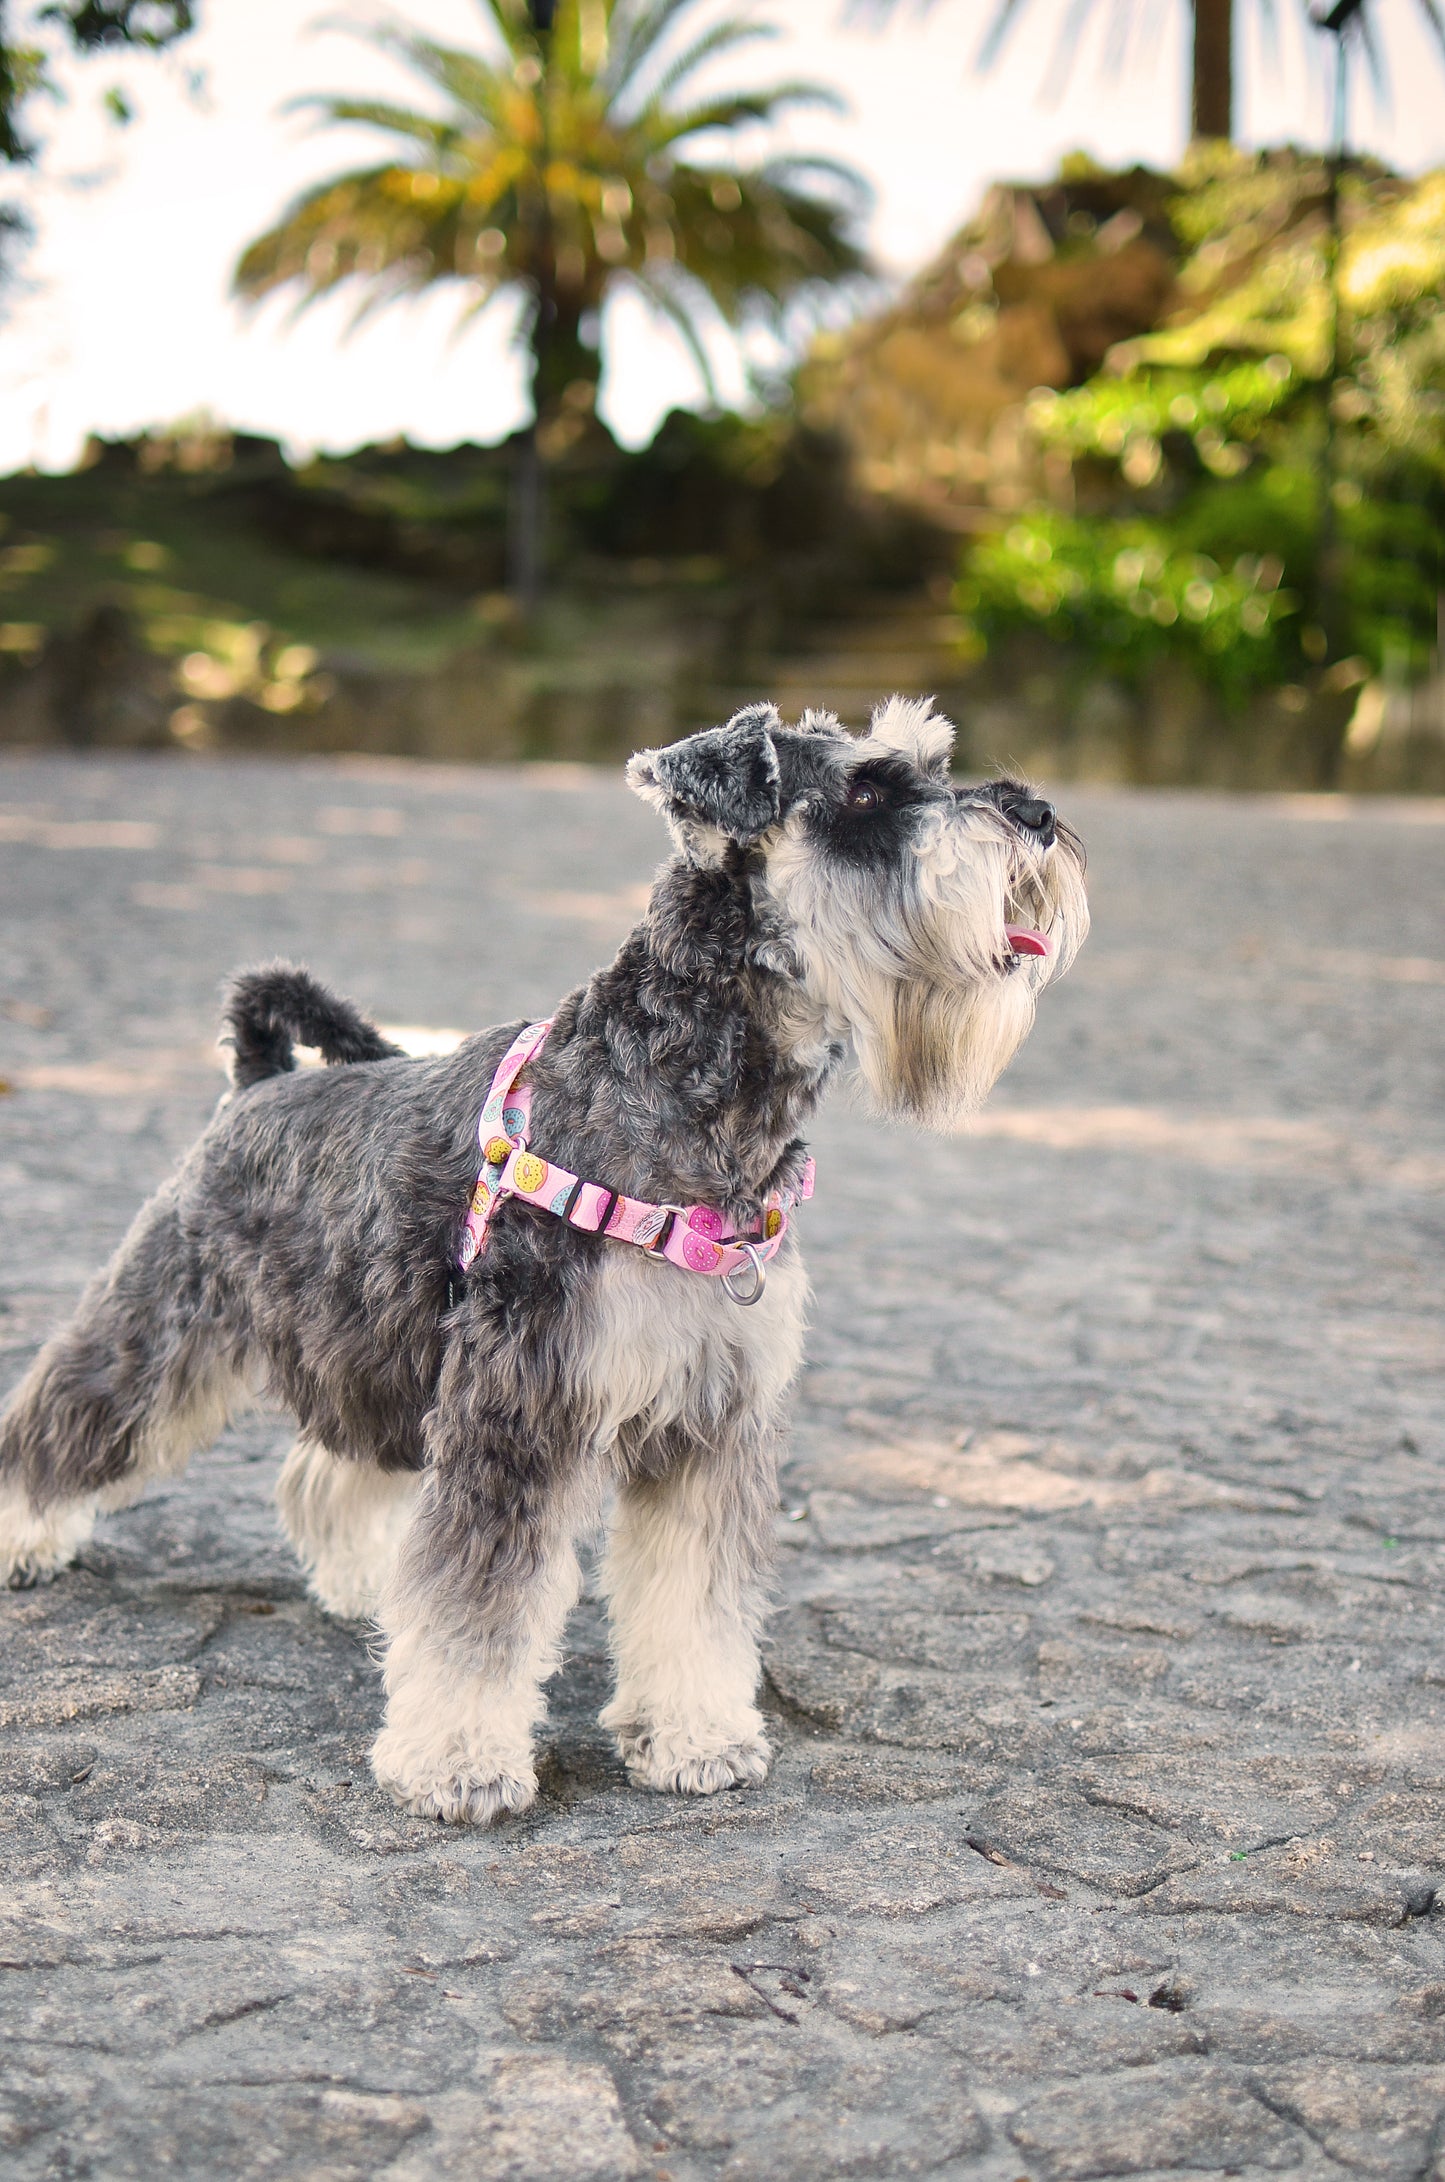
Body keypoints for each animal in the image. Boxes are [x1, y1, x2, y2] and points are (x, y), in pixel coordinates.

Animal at [0, 698, 1087, 1824]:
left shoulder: (709, 1426)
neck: (680, 1092)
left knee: (331, 1472)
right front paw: (457, 1761)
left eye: (934, 762)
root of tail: (257, 1080)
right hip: (165, 1329)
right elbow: (480, 1604)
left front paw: (694, 1736)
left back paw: (367, 1587)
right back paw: (26, 1539)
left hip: (373, 1347)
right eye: (867, 791)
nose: (1039, 815)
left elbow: (692, 1602)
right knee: (68, 1416)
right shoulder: (520, 1409)